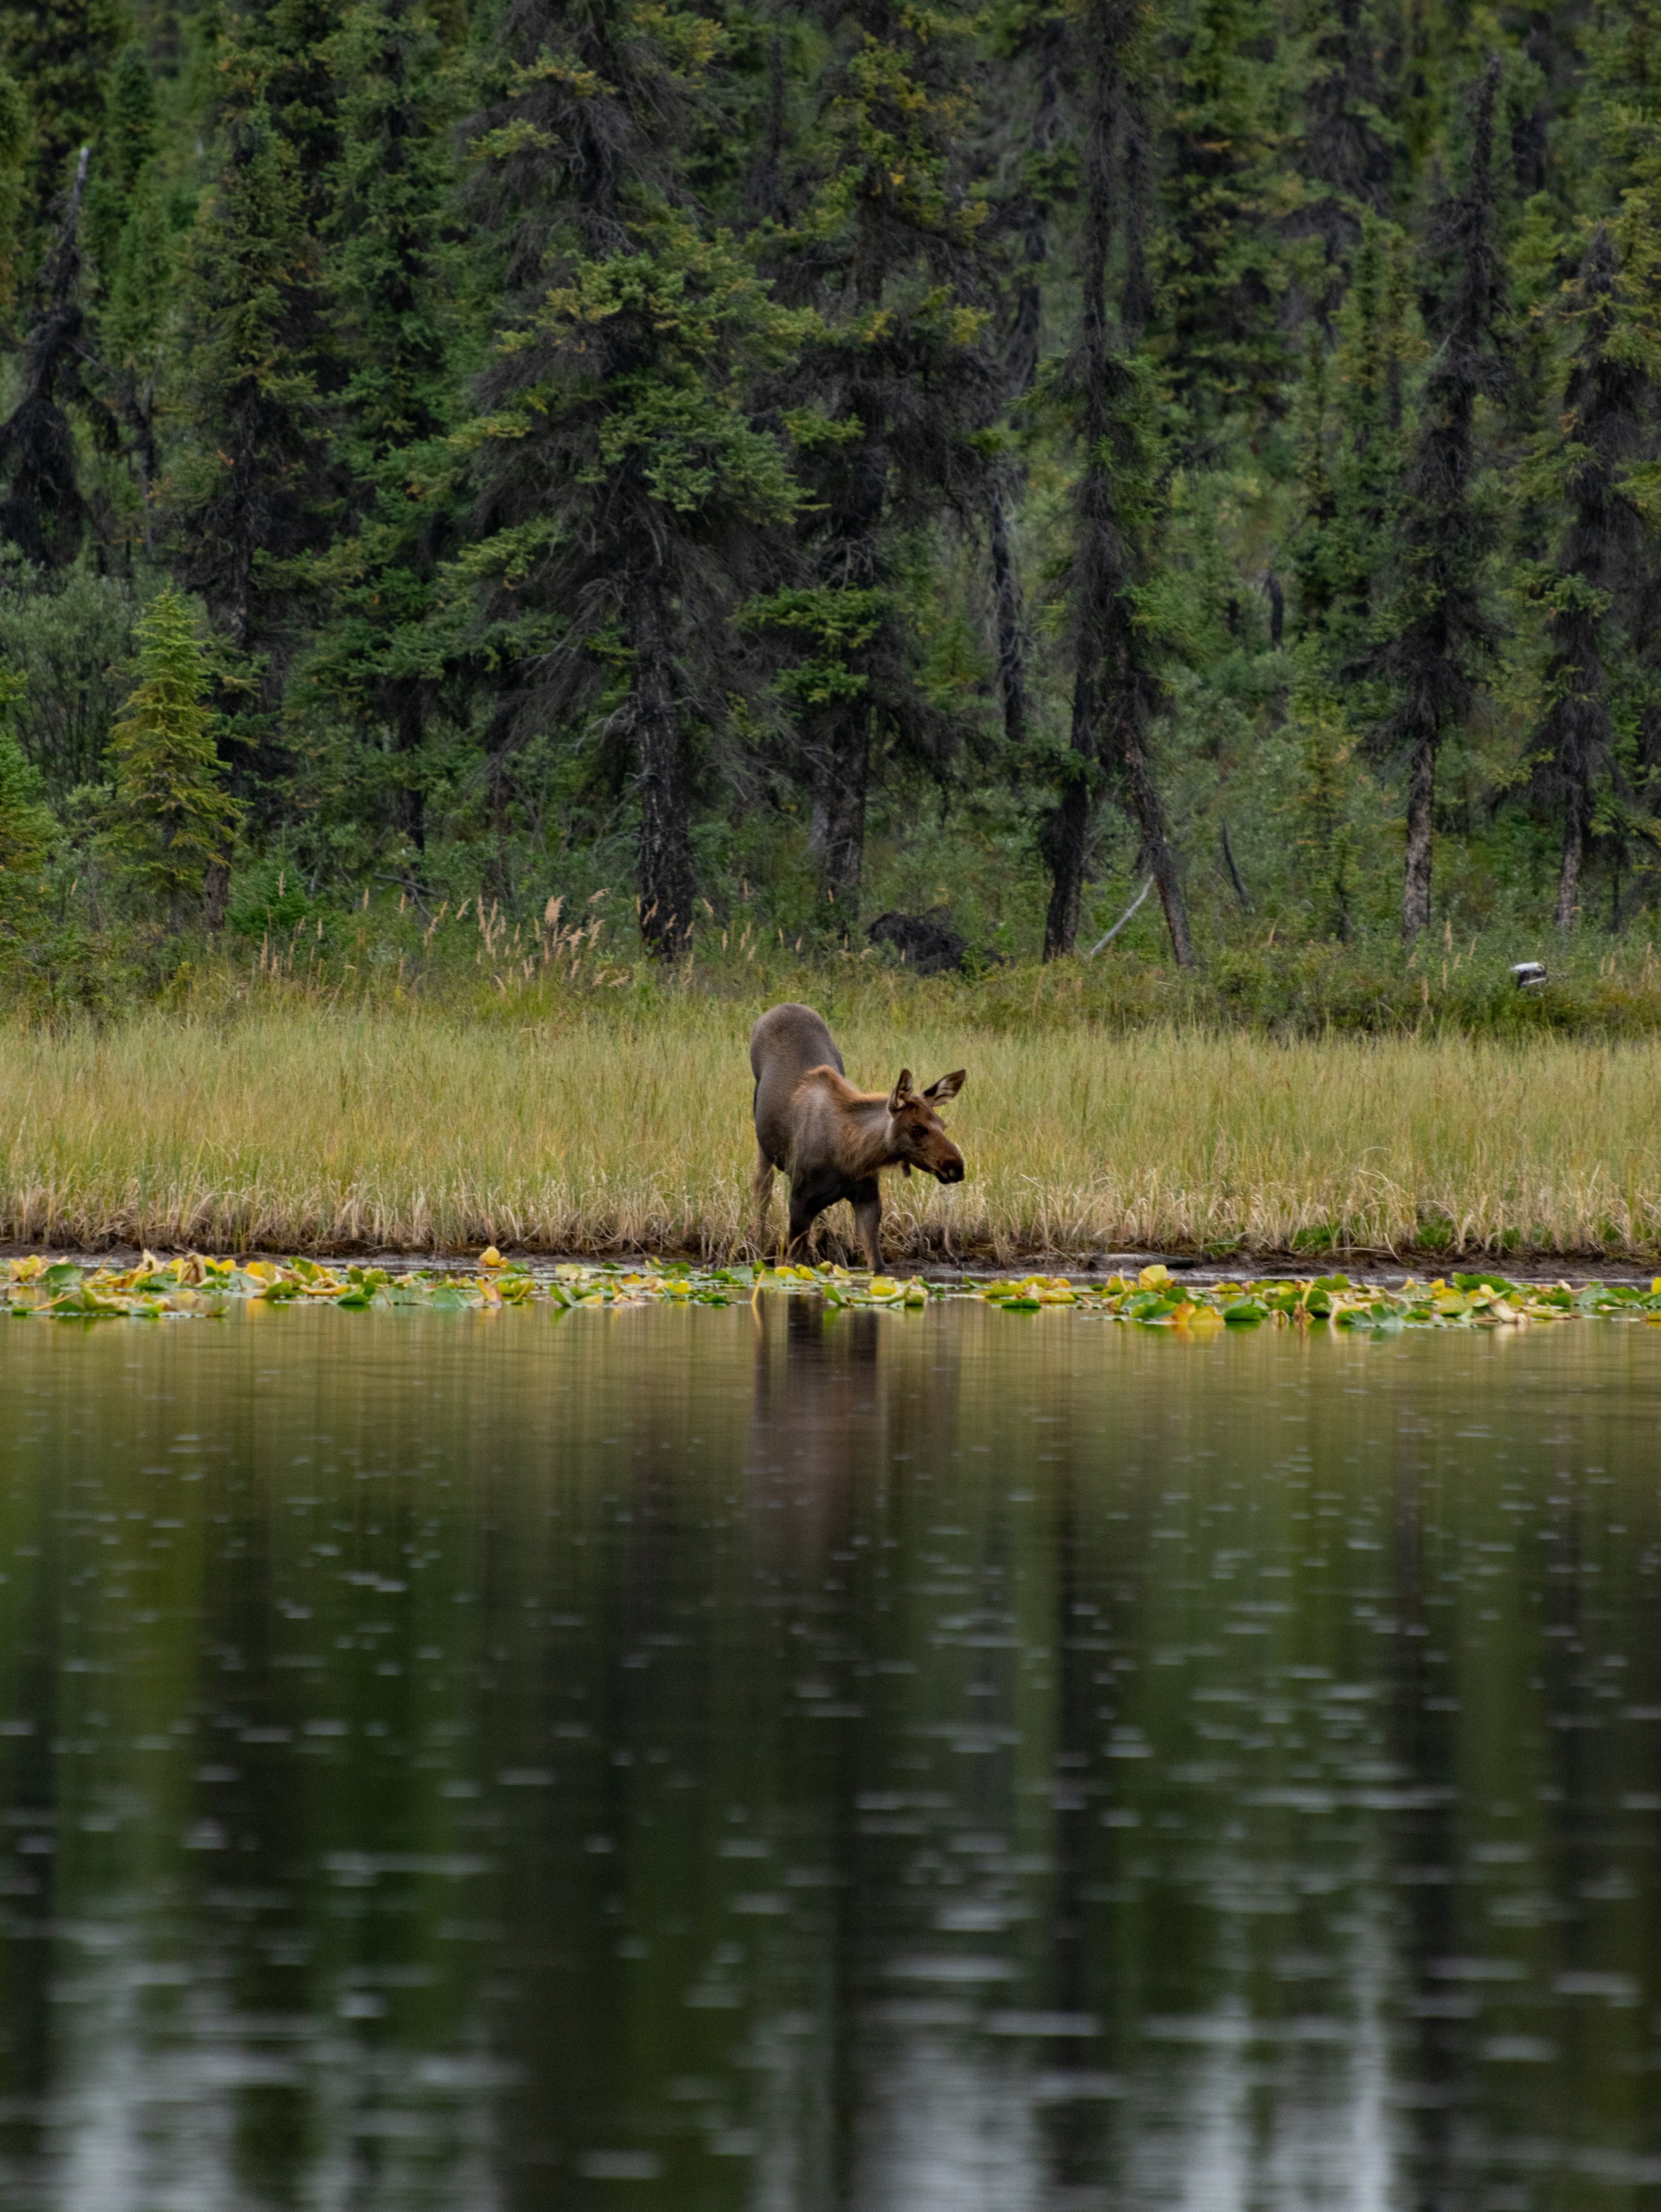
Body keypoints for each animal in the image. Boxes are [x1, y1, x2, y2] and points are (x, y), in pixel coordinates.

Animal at [750, 1002, 966, 1272]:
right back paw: (758, 1252)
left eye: (942, 1125)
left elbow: (877, 1266)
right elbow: (795, 1263)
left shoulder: (868, 1200)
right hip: (762, 1140)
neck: (851, 1158)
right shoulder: (798, 1202)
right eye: (916, 1128)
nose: (956, 1166)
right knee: (762, 1190)